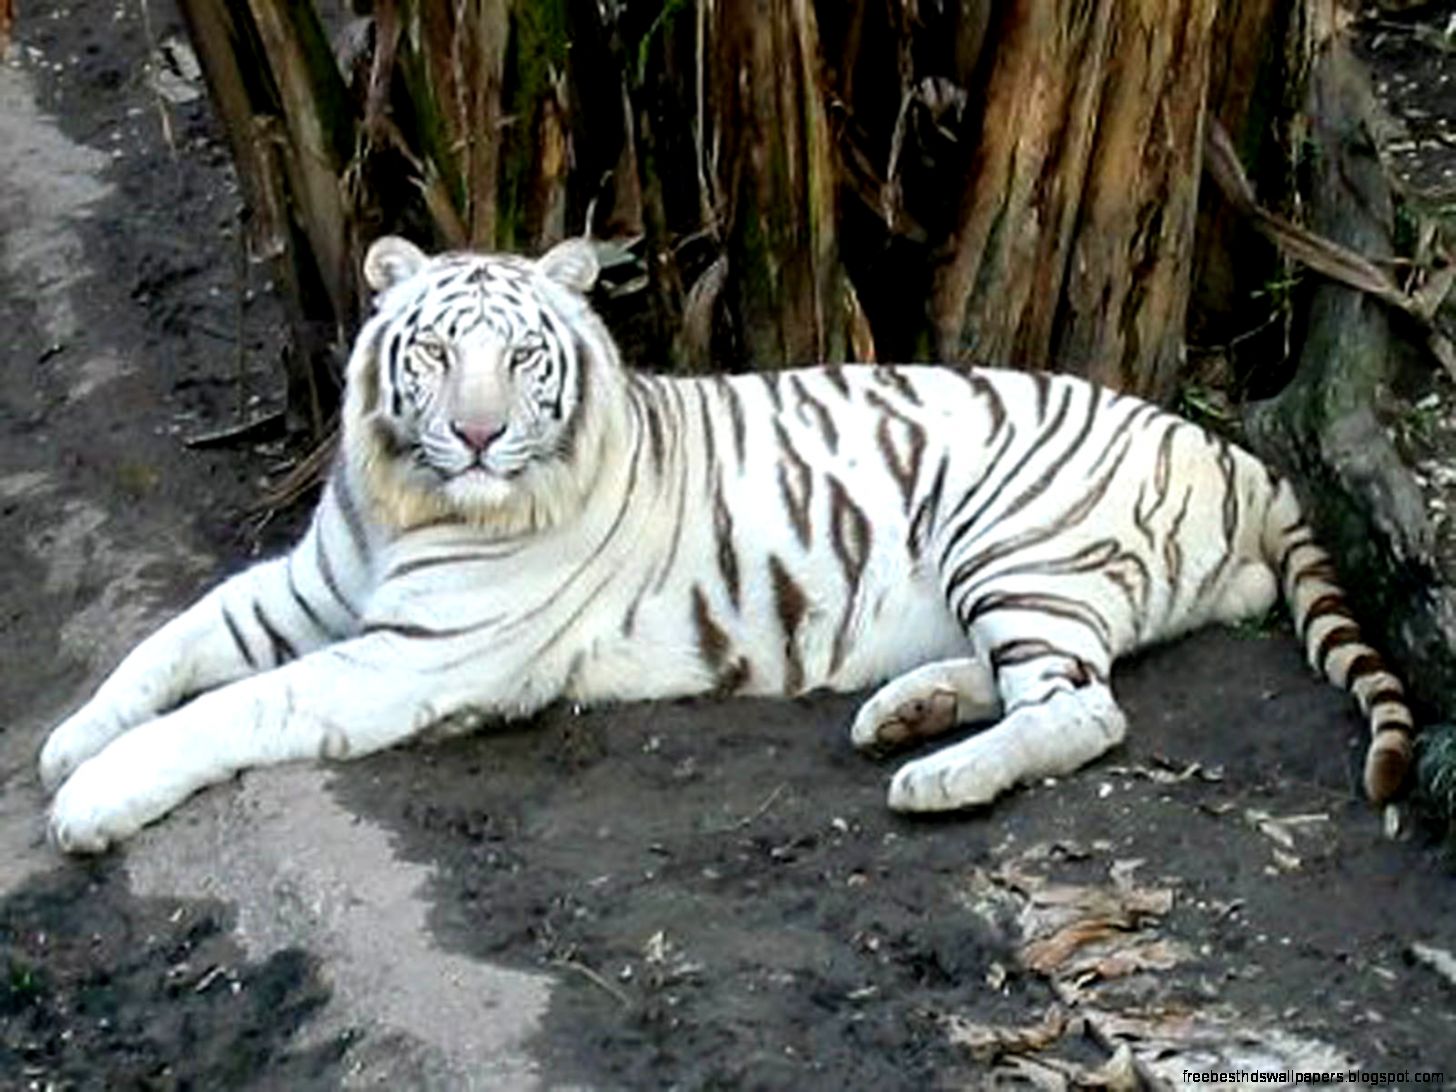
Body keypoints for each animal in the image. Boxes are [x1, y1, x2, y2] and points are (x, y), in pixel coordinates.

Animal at [39, 234, 1416, 853]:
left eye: (520, 358)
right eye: (432, 352)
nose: (476, 435)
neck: (408, 501)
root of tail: (1231, 452)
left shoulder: (406, 657)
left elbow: (237, 708)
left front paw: (91, 801)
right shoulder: (307, 585)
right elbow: (170, 645)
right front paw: (66, 739)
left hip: (1015, 540)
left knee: (1084, 711)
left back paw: (937, 776)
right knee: (1050, 680)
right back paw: (905, 713)